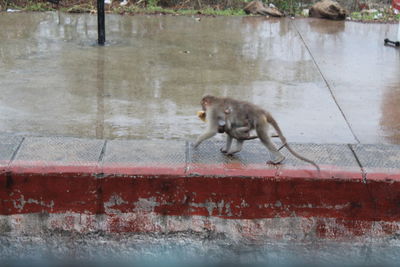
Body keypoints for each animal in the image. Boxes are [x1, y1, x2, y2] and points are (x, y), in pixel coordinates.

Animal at [192, 95, 320, 173]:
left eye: (203, 104)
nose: (202, 108)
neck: (215, 100)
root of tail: (262, 111)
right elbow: (228, 131)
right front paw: (226, 148)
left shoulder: (213, 111)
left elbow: (213, 130)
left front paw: (196, 142)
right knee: (234, 128)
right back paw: (237, 145)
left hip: (259, 121)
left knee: (261, 136)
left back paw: (279, 158)